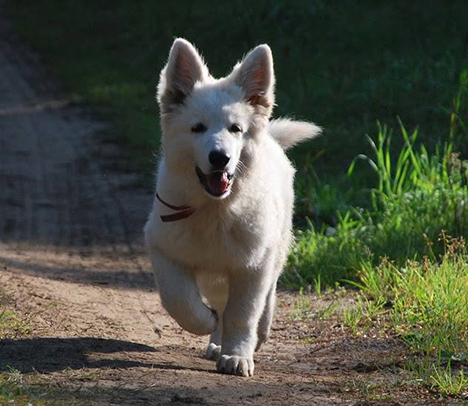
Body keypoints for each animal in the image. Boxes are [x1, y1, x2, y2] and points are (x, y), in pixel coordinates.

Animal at [145, 39, 322, 376]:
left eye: (236, 129)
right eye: (197, 128)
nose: (220, 158)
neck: (214, 209)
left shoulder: (251, 266)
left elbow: (243, 314)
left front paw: (238, 355)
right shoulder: (165, 250)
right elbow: (179, 300)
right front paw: (207, 323)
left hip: (274, 250)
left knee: (266, 297)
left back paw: (257, 334)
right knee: (218, 301)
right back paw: (216, 339)